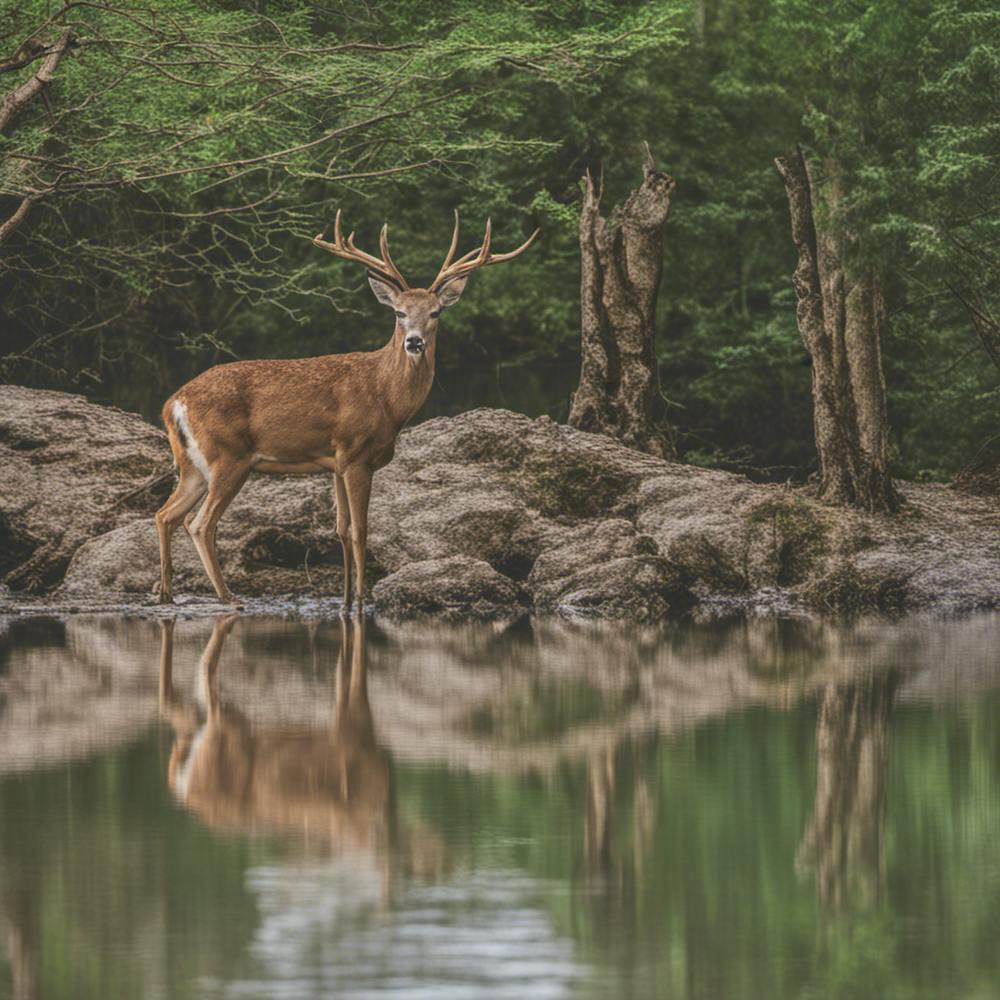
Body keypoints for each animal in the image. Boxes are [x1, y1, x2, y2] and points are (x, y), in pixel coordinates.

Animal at [155, 211, 538, 609]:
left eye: (435, 313)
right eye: (399, 313)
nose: (414, 342)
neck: (387, 399)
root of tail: (174, 402)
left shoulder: (335, 460)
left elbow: (340, 529)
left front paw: (344, 601)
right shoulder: (356, 453)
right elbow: (360, 530)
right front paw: (361, 599)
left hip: (193, 464)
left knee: (165, 514)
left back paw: (166, 592)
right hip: (228, 456)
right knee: (199, 523)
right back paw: (227, 595)